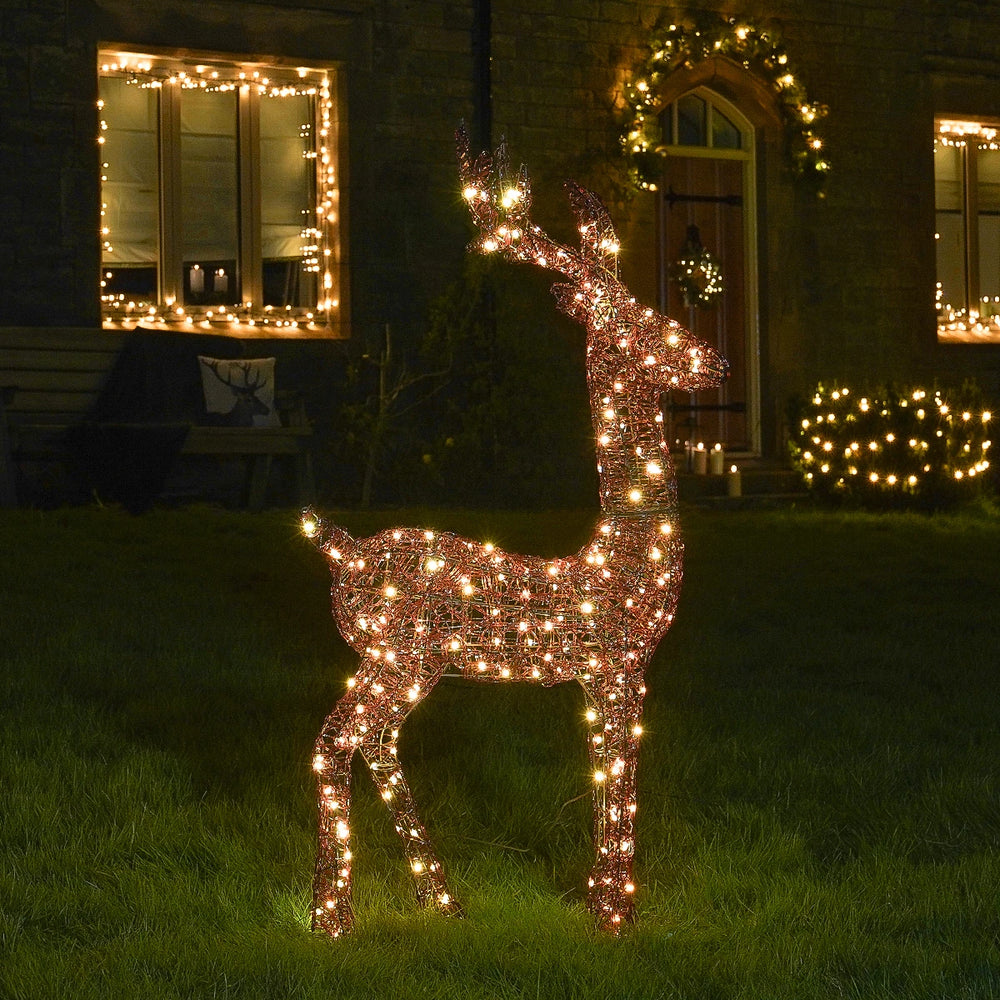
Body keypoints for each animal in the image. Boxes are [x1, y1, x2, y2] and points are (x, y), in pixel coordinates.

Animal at [301, 126, 729, 938]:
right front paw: (613, 916)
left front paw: (604, 902)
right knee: (339, 741)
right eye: (639, 320)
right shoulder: (618, 664)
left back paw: (436, 899)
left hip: (394, 662)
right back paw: (336, 916)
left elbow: (610, 771)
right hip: (403, 658)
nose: (714, 362)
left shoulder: (606, 673)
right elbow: (619, 774)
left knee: (368, 742)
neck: (625, 547)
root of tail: (338, 548)